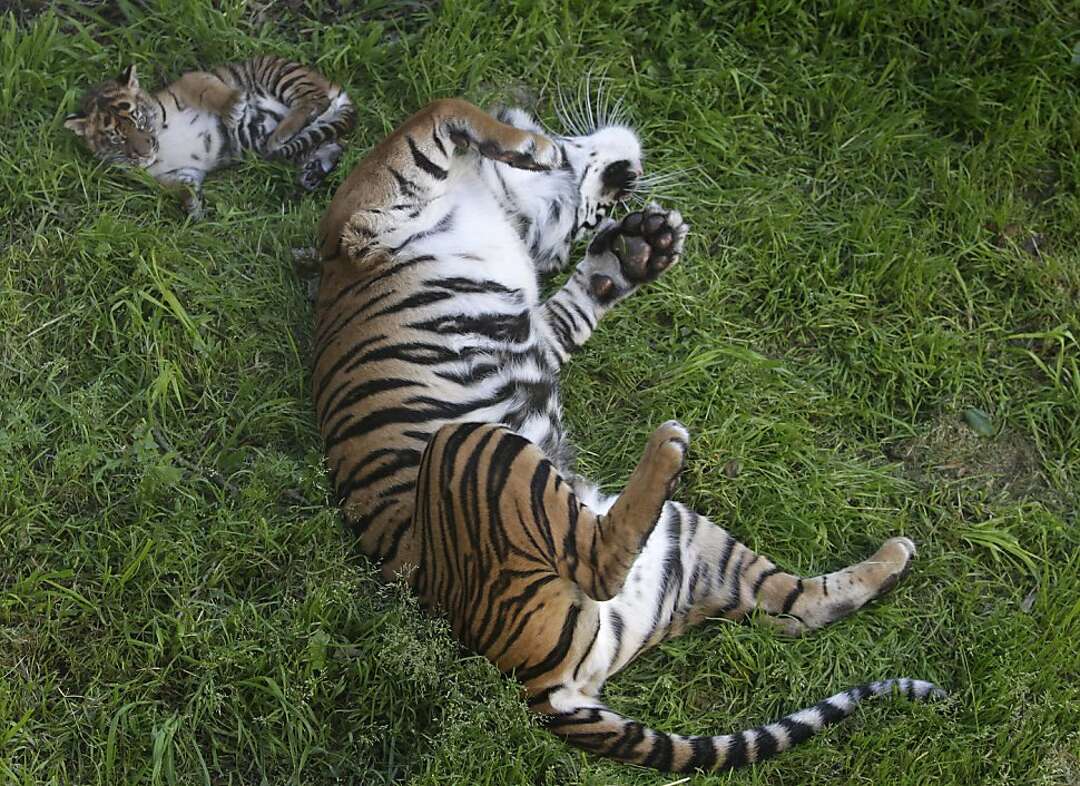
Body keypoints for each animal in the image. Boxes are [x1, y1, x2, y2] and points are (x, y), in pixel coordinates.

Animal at [64, 55, 354, 215]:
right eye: (117, 139)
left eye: (140, 120)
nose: (145, 152)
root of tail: (336, 88)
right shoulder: (175, 173)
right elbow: (180, 188)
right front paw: (193, 207)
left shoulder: (189, 82)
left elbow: (208, 91)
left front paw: (234, 106)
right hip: (312, 138)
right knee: (331, 144)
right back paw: (311, 172)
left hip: (277, 73)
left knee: (314, 100)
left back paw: (281, 135)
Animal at [311, 98, 937, 773]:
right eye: (589, 209)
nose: (627, 178)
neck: (496, 195)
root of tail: (538, 687)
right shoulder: (364, 214)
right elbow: (440, 110)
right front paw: (535, 150)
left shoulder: (539, 325)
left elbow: (580, 299)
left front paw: (639, 248)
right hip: (476, 446)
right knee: (609, 562)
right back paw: (670, 447)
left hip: (683, 539)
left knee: (792, 605)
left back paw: (890, 556)